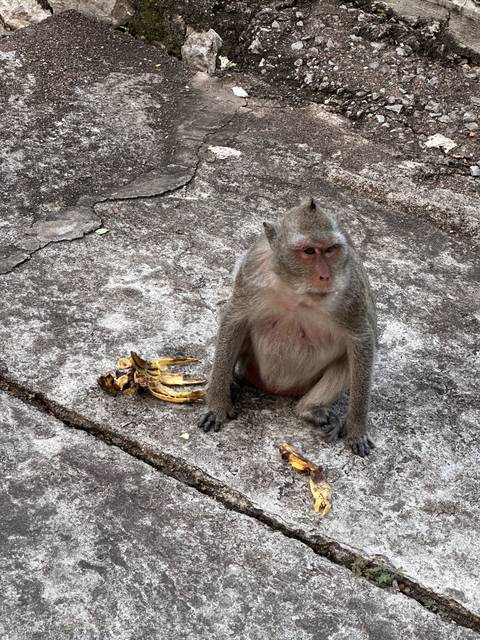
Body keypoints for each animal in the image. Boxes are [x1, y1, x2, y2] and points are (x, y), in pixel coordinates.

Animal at [198, 196, 377, 457]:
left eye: (330, 250)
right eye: (309, 251)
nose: (325, 276)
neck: (296, 289)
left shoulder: (350, 291)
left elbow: (361, 340)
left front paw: (356, 428)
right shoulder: (252, 271)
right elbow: (234, 319)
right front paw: (217, 403)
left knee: (348, 360)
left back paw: (310, 410)